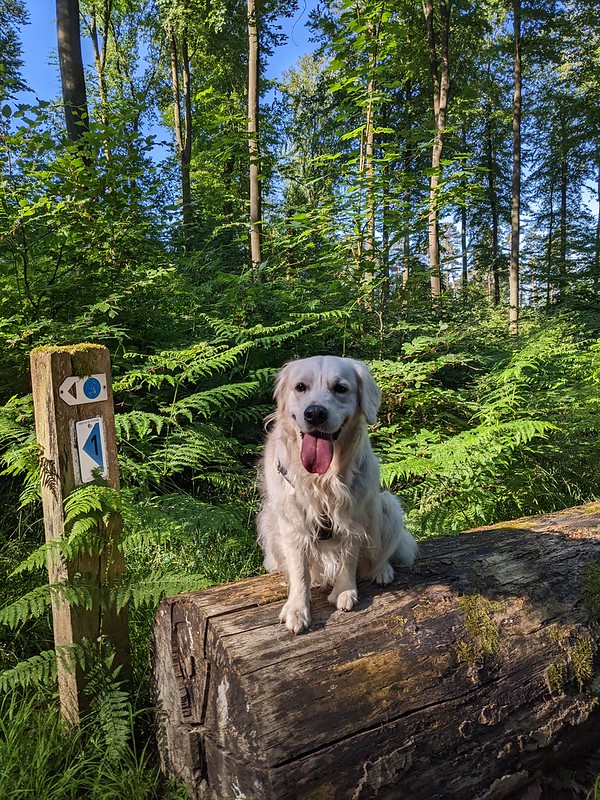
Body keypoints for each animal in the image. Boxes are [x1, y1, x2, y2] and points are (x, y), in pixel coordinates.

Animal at [256, 354, 418, 636]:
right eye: (300, 387)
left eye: (340, 388)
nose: (315, 413)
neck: (322, 478)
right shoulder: (293, 524)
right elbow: (299, 571)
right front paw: (297, 609)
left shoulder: (353, 517)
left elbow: (349, 558)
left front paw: (345, 591)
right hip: (267, 517)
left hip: (387, 504)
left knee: (382, 554)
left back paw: (382, 571)